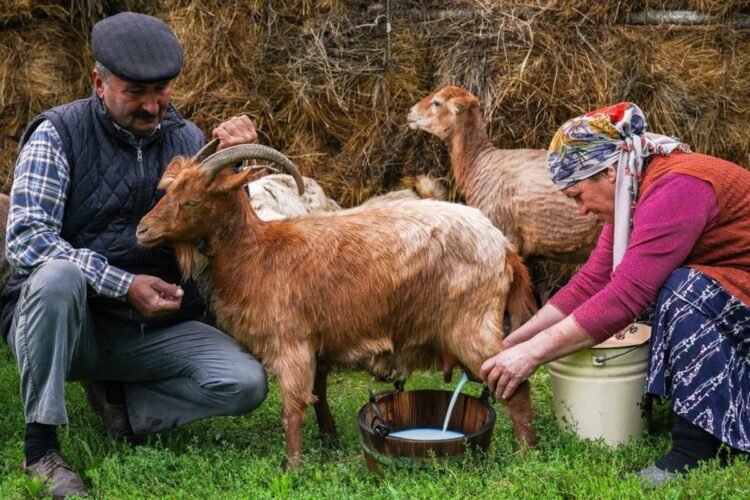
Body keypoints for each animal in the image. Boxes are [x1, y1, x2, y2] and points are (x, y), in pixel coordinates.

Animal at [137, 144, 537, 466]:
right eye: (168, 191)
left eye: (193, 200)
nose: (142, 230)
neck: (258, 254)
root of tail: (503, 248)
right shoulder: (317, 344)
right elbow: (319, 395)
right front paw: (328, 440)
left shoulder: (291, 343)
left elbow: (292, 407)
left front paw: (292, 467)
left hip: (470, 325)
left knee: (515, 384)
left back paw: (525, 453)